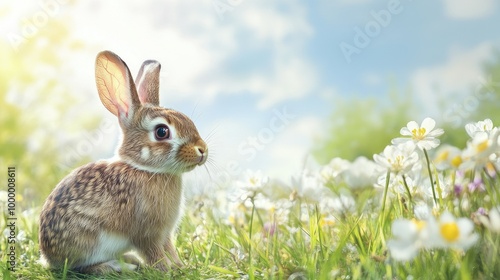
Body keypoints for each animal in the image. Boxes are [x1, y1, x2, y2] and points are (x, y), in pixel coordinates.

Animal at [38, 49, 207, 274]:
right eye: (162, 132)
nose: (202, 150)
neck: (144, 169)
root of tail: (47, 257)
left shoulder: (164, 234)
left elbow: (169, 249)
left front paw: (180, 266)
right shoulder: (147, 233)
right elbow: (155, 254)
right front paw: (167, 270)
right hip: (87, 241)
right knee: (82, 267)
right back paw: (119, 266)